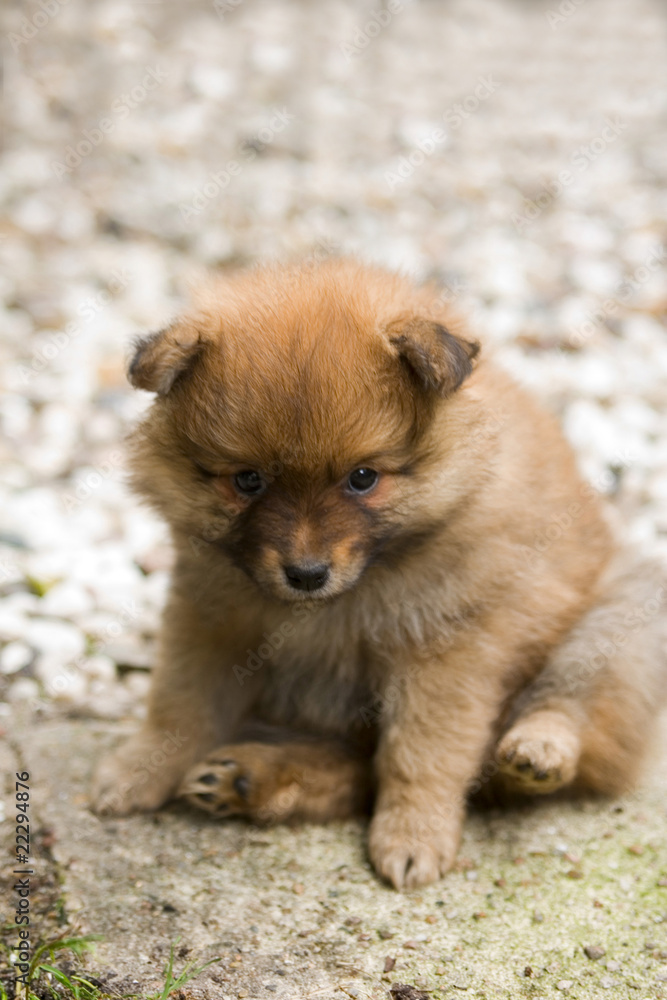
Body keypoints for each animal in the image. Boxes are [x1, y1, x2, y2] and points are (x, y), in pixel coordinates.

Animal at [95, 260, 667, 892]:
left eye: (363, 477)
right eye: (247, 480)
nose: (306, 573)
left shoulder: (446, 650)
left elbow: (421, 750)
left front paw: (413, 835)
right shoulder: (210, 620)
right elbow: (179, 704)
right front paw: (137, 770)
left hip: (624, 611)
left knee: (573, 708)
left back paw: (537, 751)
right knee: (353, 772)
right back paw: (252, 778)